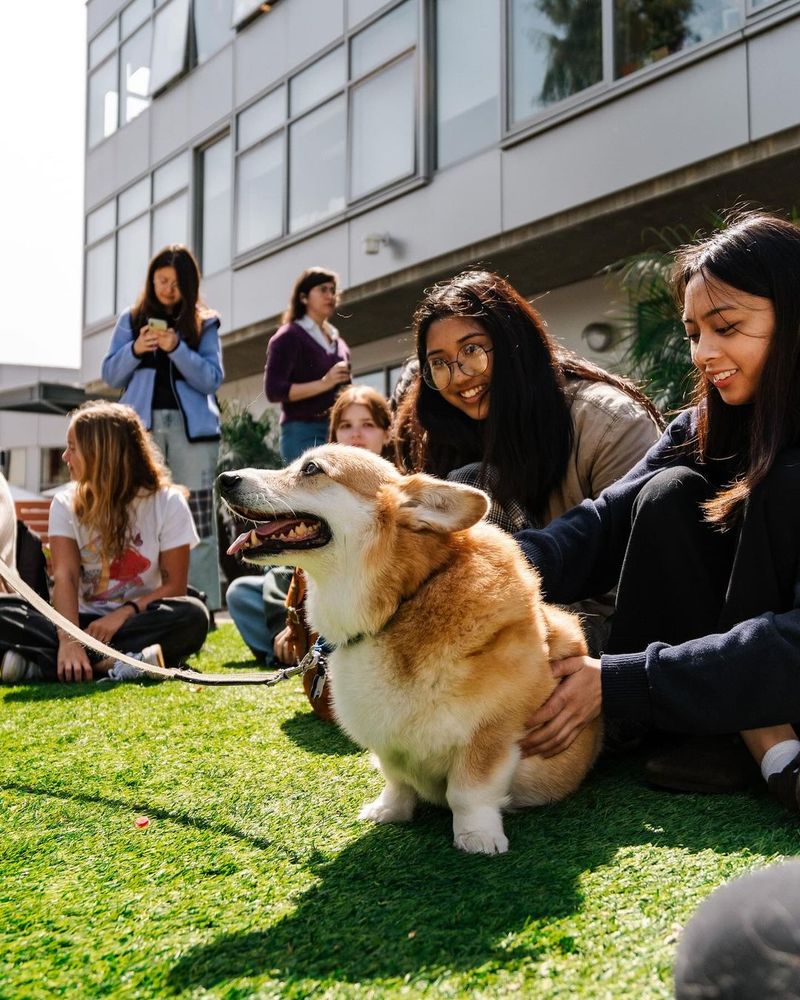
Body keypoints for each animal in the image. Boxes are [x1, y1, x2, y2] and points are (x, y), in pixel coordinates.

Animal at [217, 450, 600, 856]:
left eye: (311, 469)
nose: (224, 479)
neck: (399, 604)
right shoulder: (387, 742)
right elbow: (397, 779)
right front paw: (389, 811)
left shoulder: (493, 731)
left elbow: (469, 791)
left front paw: (477, 837)